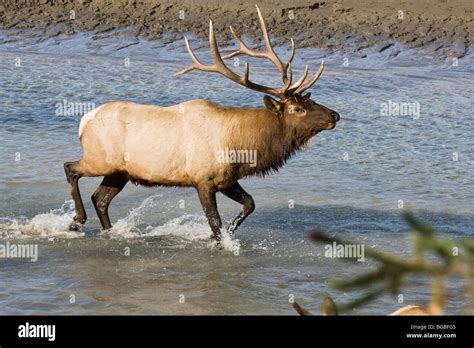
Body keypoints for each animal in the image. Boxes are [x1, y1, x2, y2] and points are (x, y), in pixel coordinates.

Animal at [65, 5, 338, 245]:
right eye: (298, 109)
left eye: (309, 101)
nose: (334, 115)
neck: (242, 147)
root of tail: (83, 122)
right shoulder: (203, 180)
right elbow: (215, 222)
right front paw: (218, 242)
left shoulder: (226, 180)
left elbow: (249, 204)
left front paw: (228, 234)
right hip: (99, 159)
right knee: (71, 169)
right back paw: (76, 221)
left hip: (119, 171)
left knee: (100, 198)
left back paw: (108, 232)